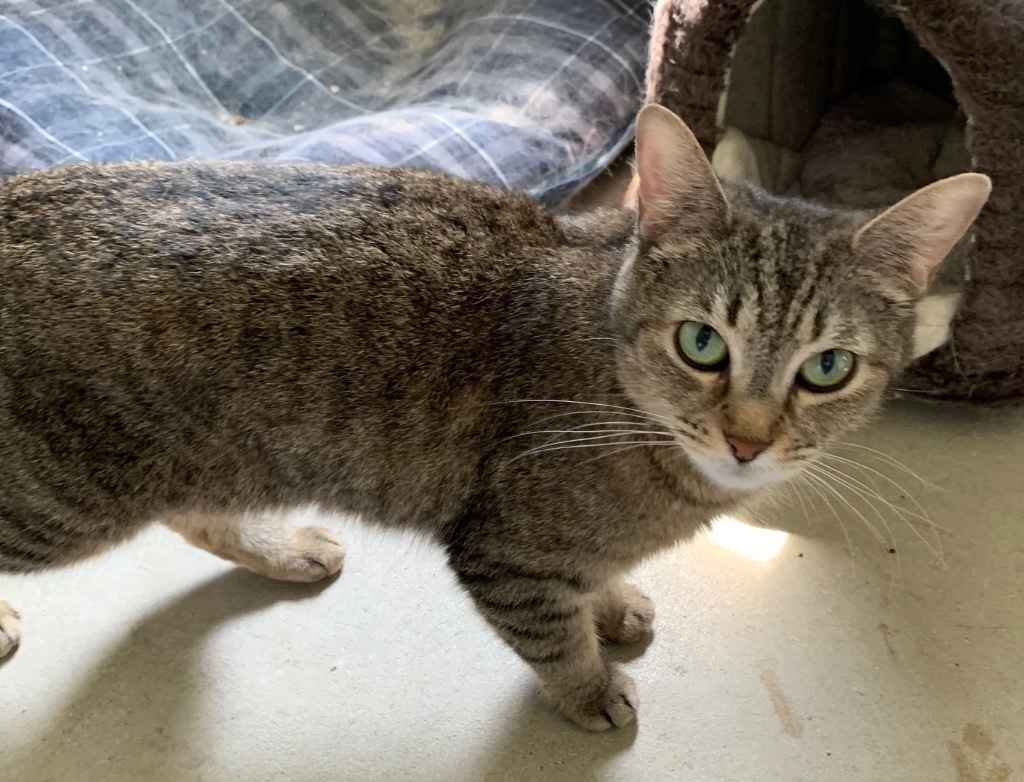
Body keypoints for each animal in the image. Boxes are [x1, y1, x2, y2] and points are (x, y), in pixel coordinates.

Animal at [0, 103, 991, 728]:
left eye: (827, 368)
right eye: (701, 344)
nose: (748, 441)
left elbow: (592, 585)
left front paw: (614, 601)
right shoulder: (502, 549)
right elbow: (552, 635)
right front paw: (591, 689)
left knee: (193, 512)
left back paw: (281, 549)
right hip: (57, 506)